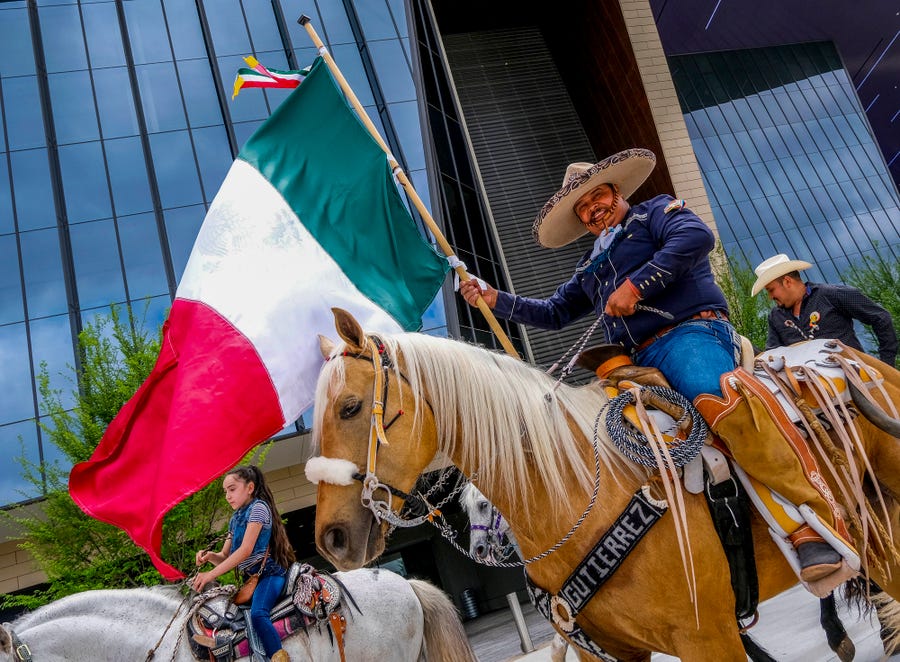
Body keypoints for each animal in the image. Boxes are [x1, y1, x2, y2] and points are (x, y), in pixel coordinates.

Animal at [312, 312, 900, 662]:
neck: (573, 494)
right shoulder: (613, 653)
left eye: (351, 408)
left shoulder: (710, 639)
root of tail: (845, 353)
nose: (331, 539)